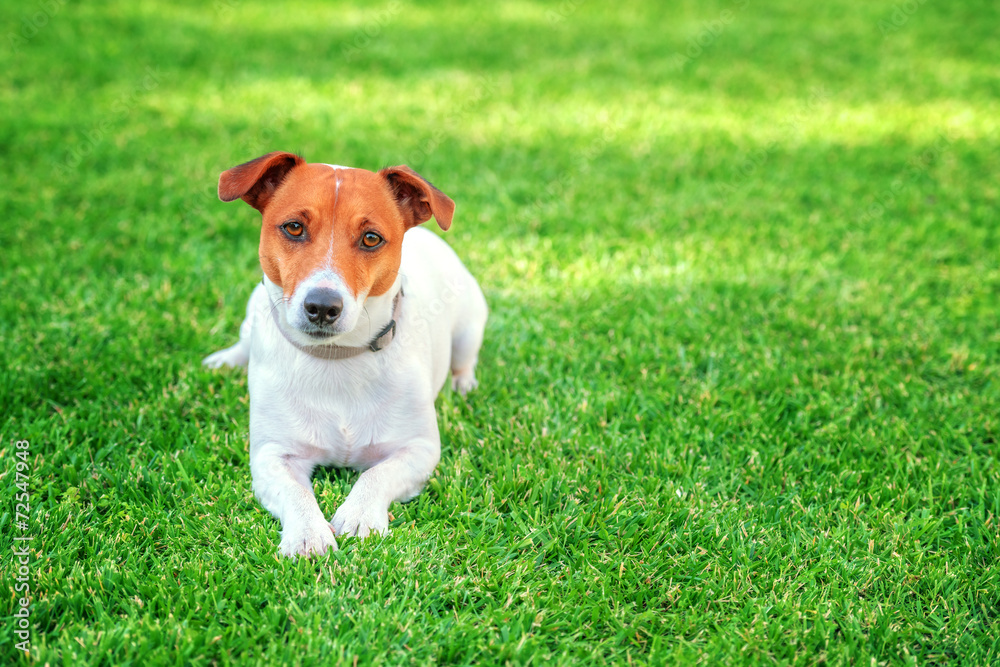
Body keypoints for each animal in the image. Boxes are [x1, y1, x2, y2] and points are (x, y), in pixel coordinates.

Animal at [202, 153, 488, 560]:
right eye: (293, 228)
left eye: (371, 238)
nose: (322, 306)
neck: (336, 358)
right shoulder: (272, 455)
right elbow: (295, 492)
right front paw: (308, 534)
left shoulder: (418, 449)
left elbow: (376, 474)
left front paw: (359, 516)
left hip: (469, 324)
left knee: (465, 360)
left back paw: (464, 386)